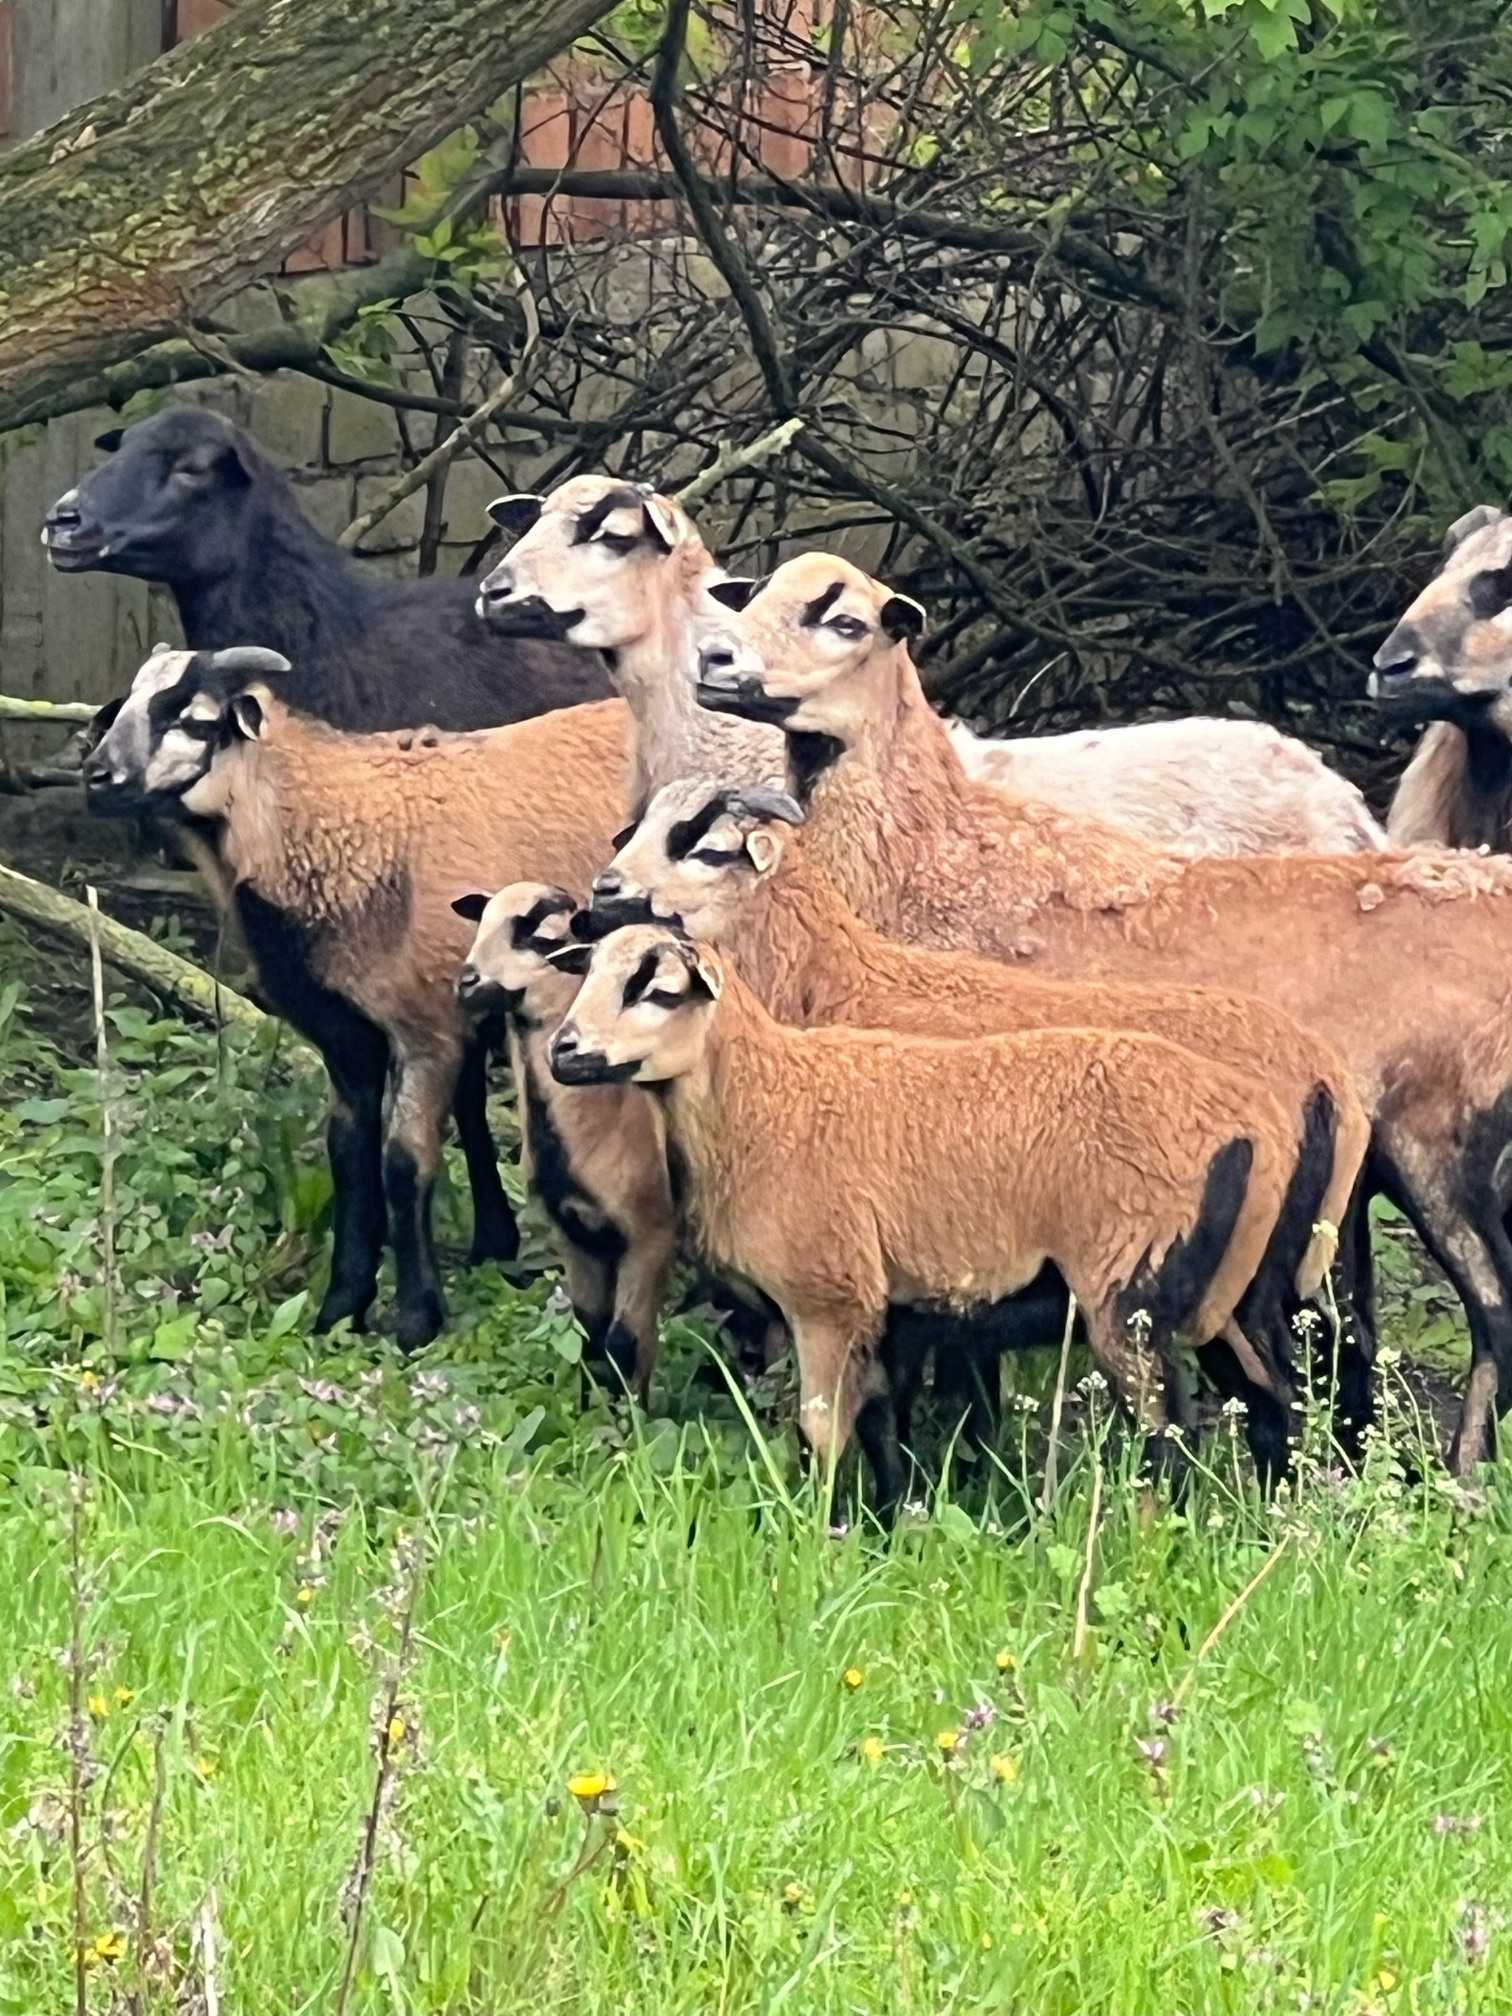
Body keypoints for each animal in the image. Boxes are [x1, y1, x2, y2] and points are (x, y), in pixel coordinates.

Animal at [449, 883, 673, 1403]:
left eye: (539, 936)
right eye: (481, 922)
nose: (466, 982)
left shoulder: (650, 1236)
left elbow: (626, 1341)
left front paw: (633, 1416)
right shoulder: (575, 1234)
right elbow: (590, 1331)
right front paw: (592, 1408)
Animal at [552, 927, 1306, 1516]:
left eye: (656, 989)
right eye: (587, 974)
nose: (564, 1050)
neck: (763, 1103)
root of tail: (1255, 1124)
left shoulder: (828, 1301)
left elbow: (820, 1439)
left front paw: (813, 1540)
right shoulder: (886, 1314)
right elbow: (884, 1429)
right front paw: (890, 1530)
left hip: (1128, 1288)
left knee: (1166, 1436)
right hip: (1226, 1293)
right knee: (1272, 1402)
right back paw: (1273, 1526)